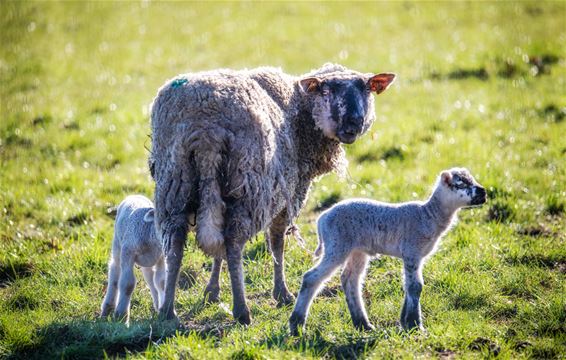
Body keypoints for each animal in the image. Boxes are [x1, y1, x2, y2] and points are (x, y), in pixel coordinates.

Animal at [151, 63, 400, 322]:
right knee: (233, 242)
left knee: (175, 245)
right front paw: (282, 293)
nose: (354, 123)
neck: (300, 112)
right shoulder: (288, 193)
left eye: (367, 89)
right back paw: (241, 310)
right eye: (326, 91)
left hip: (175, 184)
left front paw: (212, 291)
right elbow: (277, 242)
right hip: (247, 186)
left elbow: (218, 251)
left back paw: (168, 311)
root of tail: (205, 128)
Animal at [290, 167, 490, 334]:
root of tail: (322, 218)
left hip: (357, 250)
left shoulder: (416, 256)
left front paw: (406, 322)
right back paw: (296, 325)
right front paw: (415, 326)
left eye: (472, 179)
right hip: (337, 245)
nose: (483, 192)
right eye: (461, 183)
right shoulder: (412, 251)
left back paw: (363, 324)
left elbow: (410, 286)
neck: (428, 215)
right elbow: (416, 286)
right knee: (311, 278)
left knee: (350, 280)